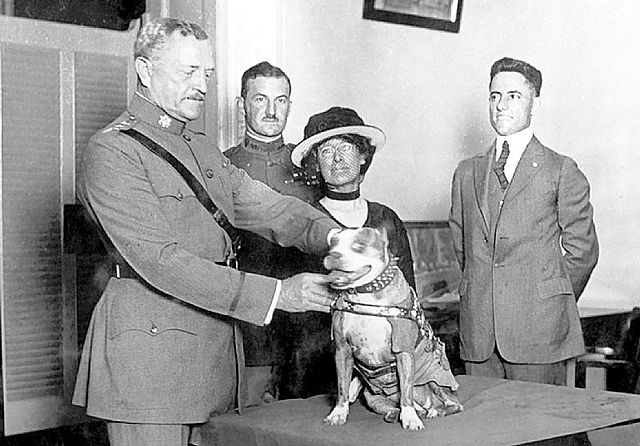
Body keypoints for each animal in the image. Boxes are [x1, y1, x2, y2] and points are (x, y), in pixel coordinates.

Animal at [322, 228, 462, 430]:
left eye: (359, 245)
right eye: (332, 244)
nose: (333, 255)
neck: (366, 296)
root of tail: (427, 404)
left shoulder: (403, 351)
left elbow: (406, 389)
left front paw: (410, 419)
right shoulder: (342, 350)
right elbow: (342, 386)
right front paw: (338, 413)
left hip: (435, 379)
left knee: (451, 403)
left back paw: (435, 411)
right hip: (373, 398)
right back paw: (396, 414)